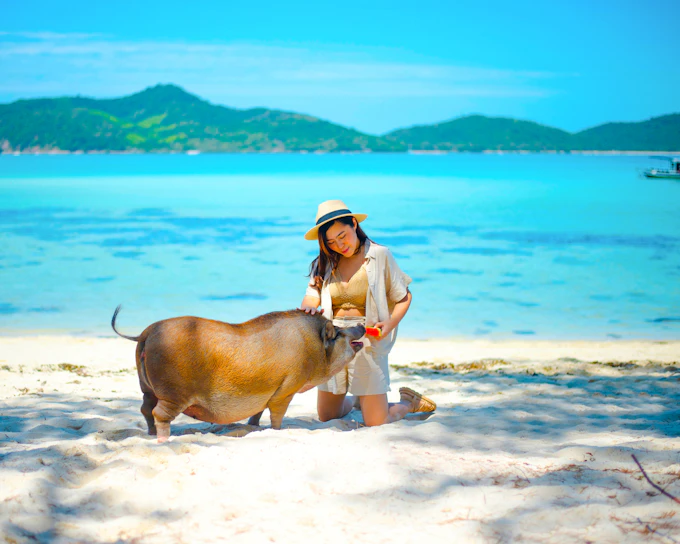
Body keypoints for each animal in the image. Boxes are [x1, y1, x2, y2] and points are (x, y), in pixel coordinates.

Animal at [111, 306, 365, 442]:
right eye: (338, 332)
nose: (361, 325)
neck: (312, 348)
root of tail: (145, 333)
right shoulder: (287, 387)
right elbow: (277, 415)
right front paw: (277, 431)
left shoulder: (267, 391)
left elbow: (258, 412)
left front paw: (254, 427)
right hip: (173, 391)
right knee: (159, 413)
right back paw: (163, 439)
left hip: (146, 387)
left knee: (145, 408)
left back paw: (151, 434)